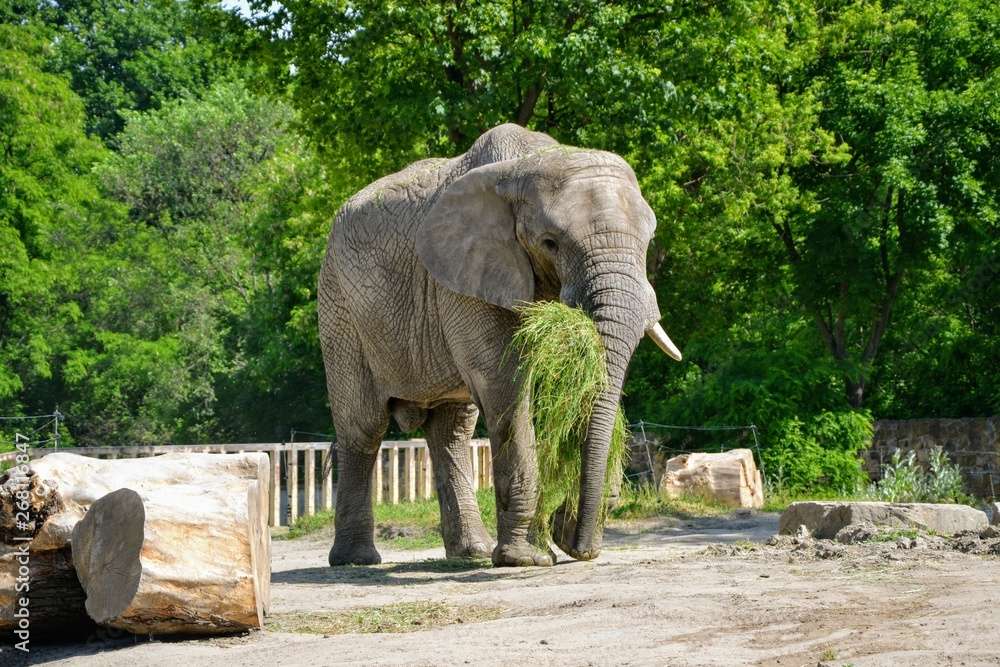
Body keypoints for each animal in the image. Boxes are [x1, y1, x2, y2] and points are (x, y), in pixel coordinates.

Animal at [320, 124, 680, 568]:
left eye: (649, 240)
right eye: (550, 242)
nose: (579, 547)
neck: (533, 161)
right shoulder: (465, 275)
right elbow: (506, 385)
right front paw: (528, 559)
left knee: (452, 430)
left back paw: (469, 553)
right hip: (339, 306)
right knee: (363, 425)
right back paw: (357, 560)